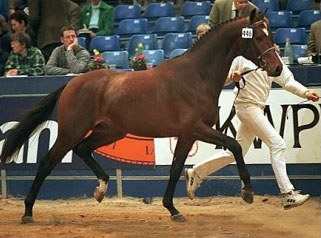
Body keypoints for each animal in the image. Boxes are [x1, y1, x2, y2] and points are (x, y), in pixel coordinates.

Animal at [0, 10, 282, 223]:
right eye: (258, 36)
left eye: (271, 34)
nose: (277, 68)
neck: (196, 77)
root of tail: (72, 82)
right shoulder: (196, 129)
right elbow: (234, 146)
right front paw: (248, 192)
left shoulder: (187, 135)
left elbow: (177, 168)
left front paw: (173, 209)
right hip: (72, 131)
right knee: (48, 162)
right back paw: (27, 212)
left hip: (110, 131)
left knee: (83, 149)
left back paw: (101, 188)